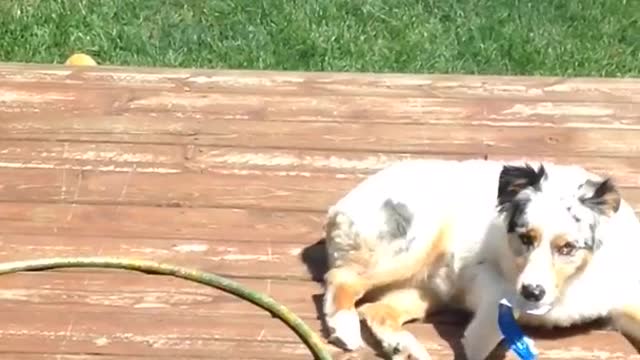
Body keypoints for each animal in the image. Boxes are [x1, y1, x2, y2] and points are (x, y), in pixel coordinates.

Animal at [322, 160, 640, 360]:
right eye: (526, 238)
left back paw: (404, 348)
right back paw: (345, 328)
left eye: (568, 248)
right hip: (418, 241)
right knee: (341, 278)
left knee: (376, 311)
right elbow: (493, 320)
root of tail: (338, 206)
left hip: (426, 291)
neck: (570, 284)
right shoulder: (485, 279)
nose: (532, 292)